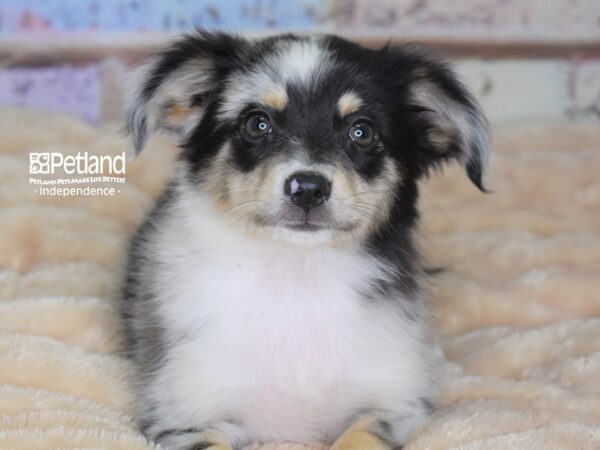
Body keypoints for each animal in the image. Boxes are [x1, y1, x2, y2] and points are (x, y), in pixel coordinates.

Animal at [119, 30, 490, 450]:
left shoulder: (396, 403)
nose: (308, 188)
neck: (296, 274)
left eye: (362, 132)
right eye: (257, 124)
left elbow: (361, 437)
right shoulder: (184, 415)